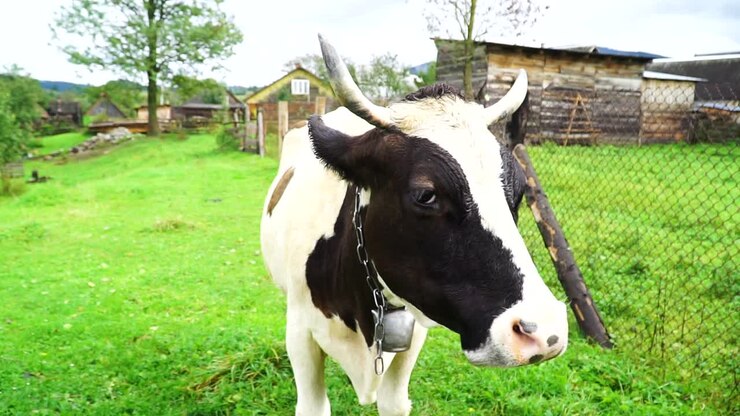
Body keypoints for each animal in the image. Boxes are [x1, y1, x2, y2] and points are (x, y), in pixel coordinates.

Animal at [260, 35, 568, 416]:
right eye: (426, 194)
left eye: (521, 188)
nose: (543, 331)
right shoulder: (300, 332)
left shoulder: (415, 331)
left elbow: (393, 402)